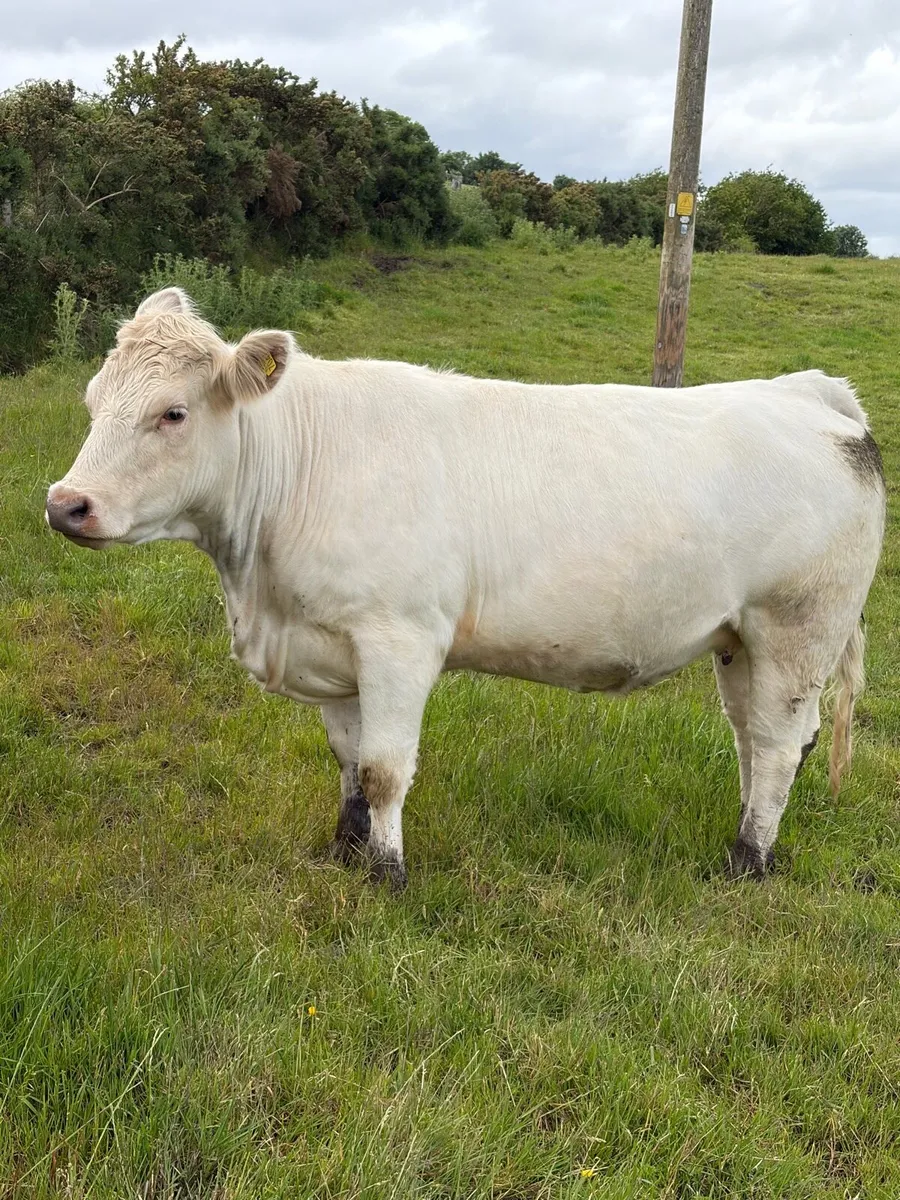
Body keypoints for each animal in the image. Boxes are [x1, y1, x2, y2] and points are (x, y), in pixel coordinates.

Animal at [46, 288, 886, 888]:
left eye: (173, 412)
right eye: (91, 403)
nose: (66, 503)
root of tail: (806, 392)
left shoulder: (399, 638)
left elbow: (385, 769)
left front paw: (386, 875)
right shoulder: (330, 644)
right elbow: (348, 759)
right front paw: (347, 848)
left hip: (796, 628)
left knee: (776, 744)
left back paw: (747, 861)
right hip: (739, 638)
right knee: (756, 738)